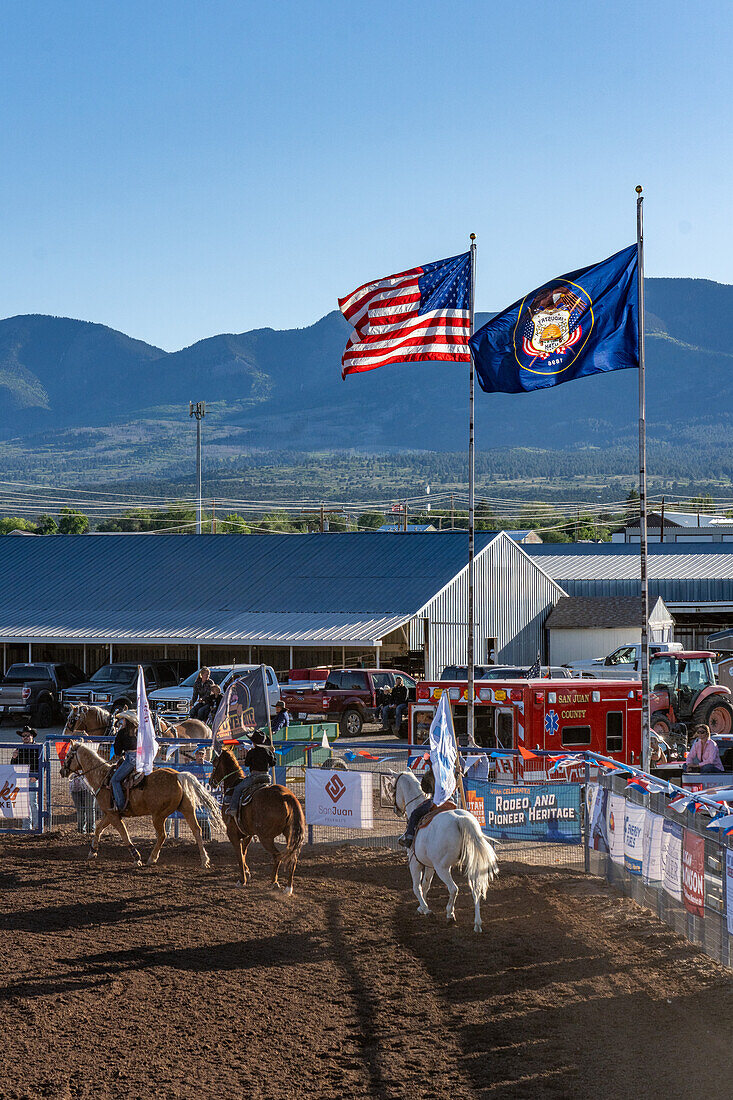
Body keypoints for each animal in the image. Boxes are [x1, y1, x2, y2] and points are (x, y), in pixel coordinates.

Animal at [59, 739, 222, 866]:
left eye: (68, 755)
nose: (62, 771)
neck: (103, 777)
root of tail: (178, 775)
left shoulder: (113, 815)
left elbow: (124, 834)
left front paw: (136, 857)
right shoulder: (109, 814)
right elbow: (99, 829)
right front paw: (92, 852)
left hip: (158, 815)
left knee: (162, 835)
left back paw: (152, 858)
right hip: (187, 809)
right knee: (197, 830)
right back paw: (204, 860)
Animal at [208, 748, 305, 893]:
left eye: (215, 763)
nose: (210, 781)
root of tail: (287, 797)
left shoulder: (232, 832)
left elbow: (239, 854)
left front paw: (242, 880)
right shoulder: (248, 832)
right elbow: (244, 852)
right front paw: (247, 872)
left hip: (266, 837)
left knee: (277, 856)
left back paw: (274, 882)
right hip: (290, 834)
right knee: (292, 859)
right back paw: (288, 888)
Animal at [387, 770, 497, 932]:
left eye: (393, 788)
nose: (396, 810)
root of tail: (461, 820)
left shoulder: (415, 862)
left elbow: (416, 887)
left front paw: (426, 910)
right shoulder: (430, 865)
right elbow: (426, 885)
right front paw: (421, 908)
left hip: (443, 868)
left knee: (453, 889)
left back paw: (450, 915)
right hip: (470, 865)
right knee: (475, 889)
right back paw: (477, 924)